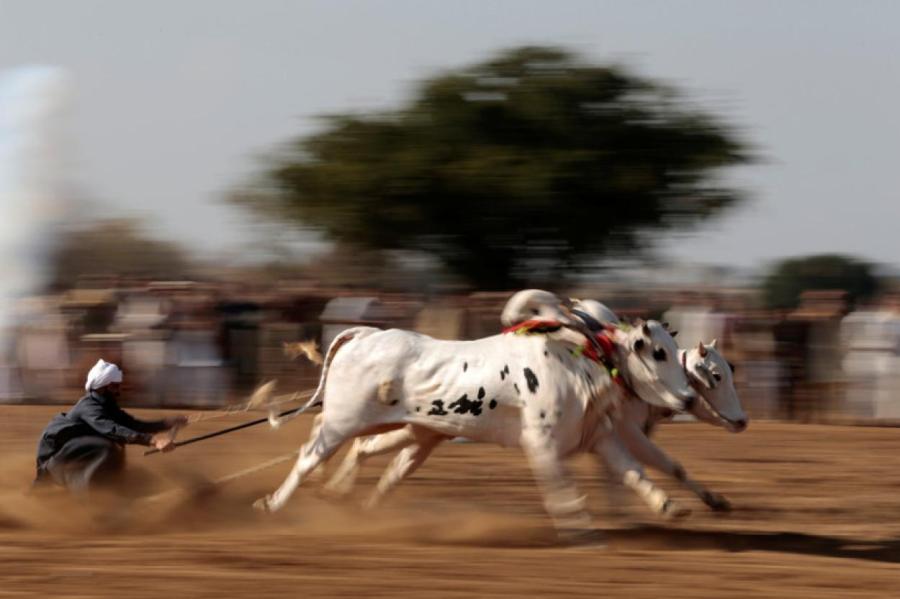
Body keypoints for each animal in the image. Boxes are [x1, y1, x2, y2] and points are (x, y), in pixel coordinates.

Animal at [256, 290, 692, 536]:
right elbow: (559, 487)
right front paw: (578, 525)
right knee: (308, 456)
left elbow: (632, 472)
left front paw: (669, 506)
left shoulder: (598, 436)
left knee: (371, 457)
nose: (689, 398)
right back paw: (272, 504)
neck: (581, 359)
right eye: (658, 352)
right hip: (343, 422)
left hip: (412, 432)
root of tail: (364, 334)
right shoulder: (541, 443)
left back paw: (347, 499)